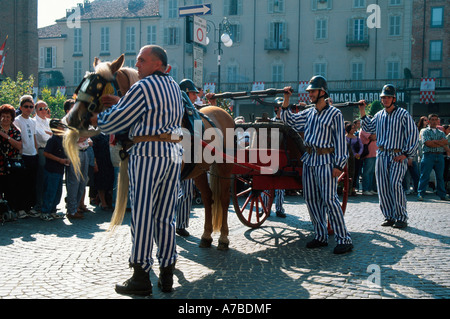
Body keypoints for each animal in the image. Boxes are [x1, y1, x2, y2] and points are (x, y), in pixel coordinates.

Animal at [63, 53, 236, 251]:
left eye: (98, 86)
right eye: (83, 83)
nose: (72, 117)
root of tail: (222, 112)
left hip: (224, 167)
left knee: (223, 199)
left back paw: (223, 238)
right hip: (199, 170)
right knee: (208, 198)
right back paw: (206, 236)